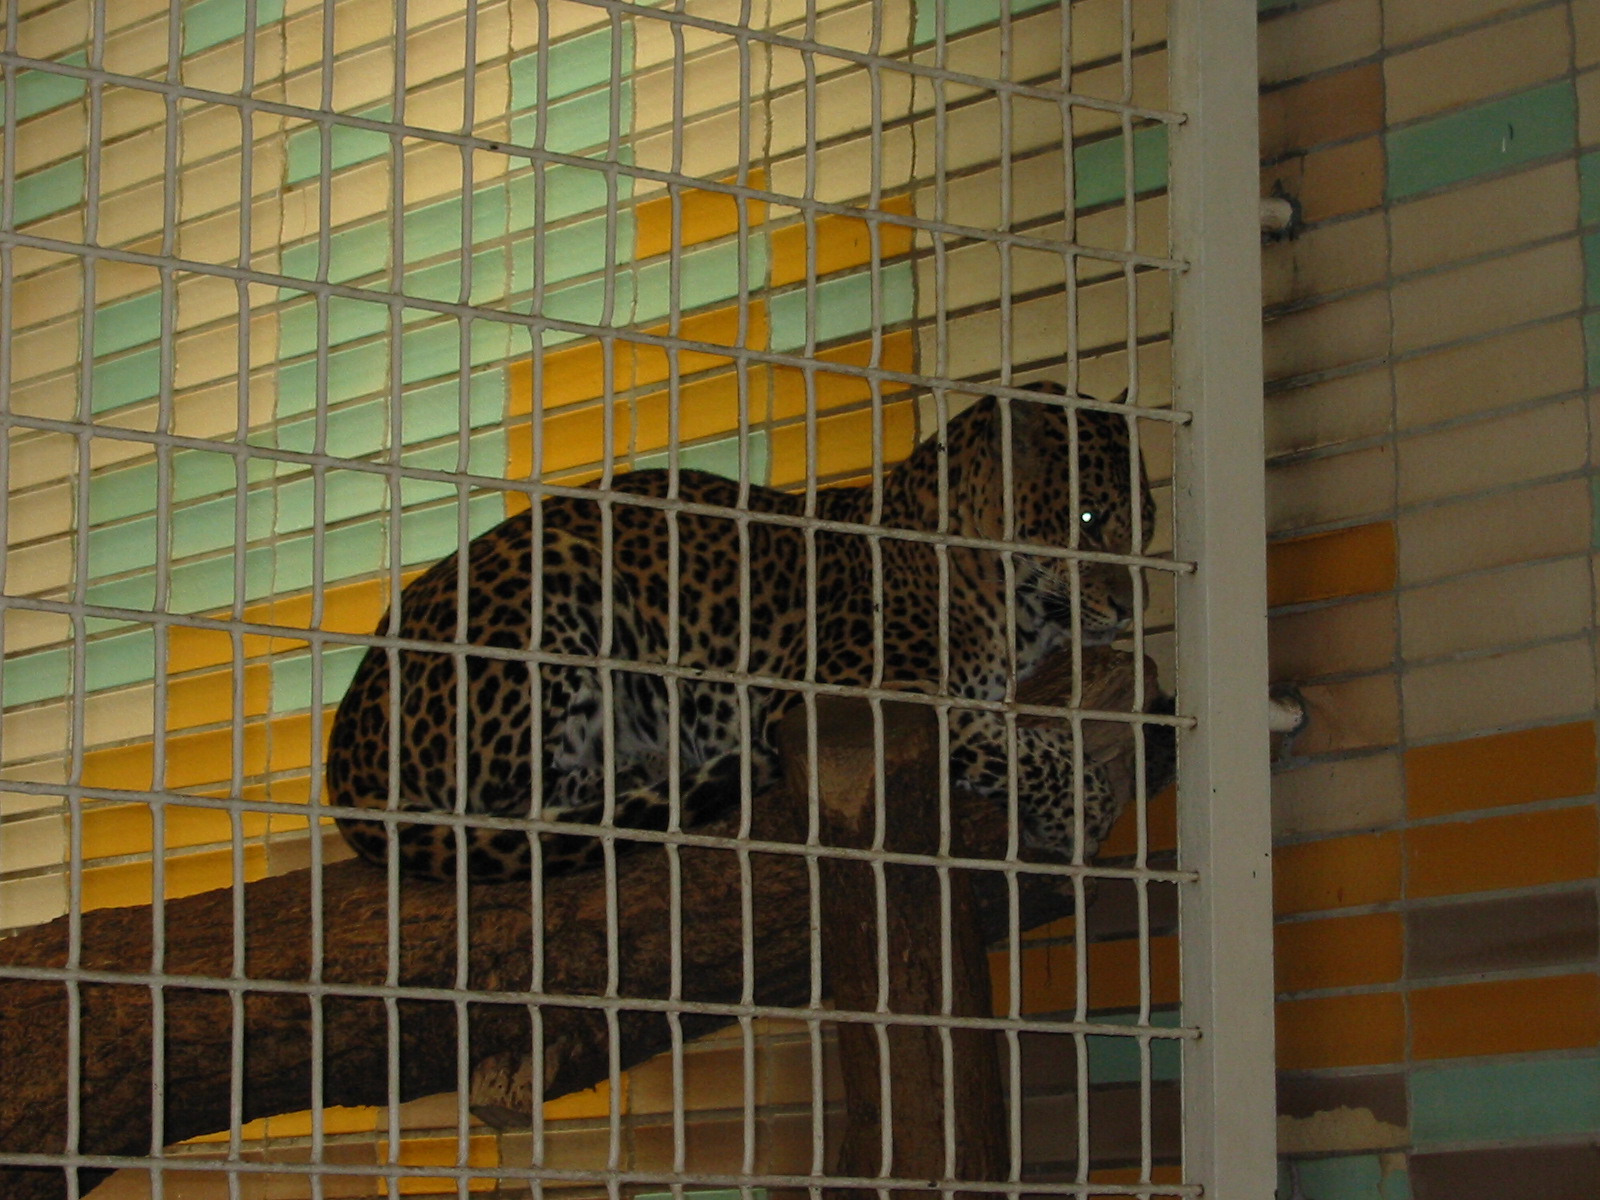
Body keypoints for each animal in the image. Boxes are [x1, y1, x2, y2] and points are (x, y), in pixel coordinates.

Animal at [325, 381, 1173, 883]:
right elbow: (1009, 741)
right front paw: (1082, 807)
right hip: (558, 574)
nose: (1133, 608)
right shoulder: (838, 696)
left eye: (1147, 525)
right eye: (1088, 520)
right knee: (510, 801)